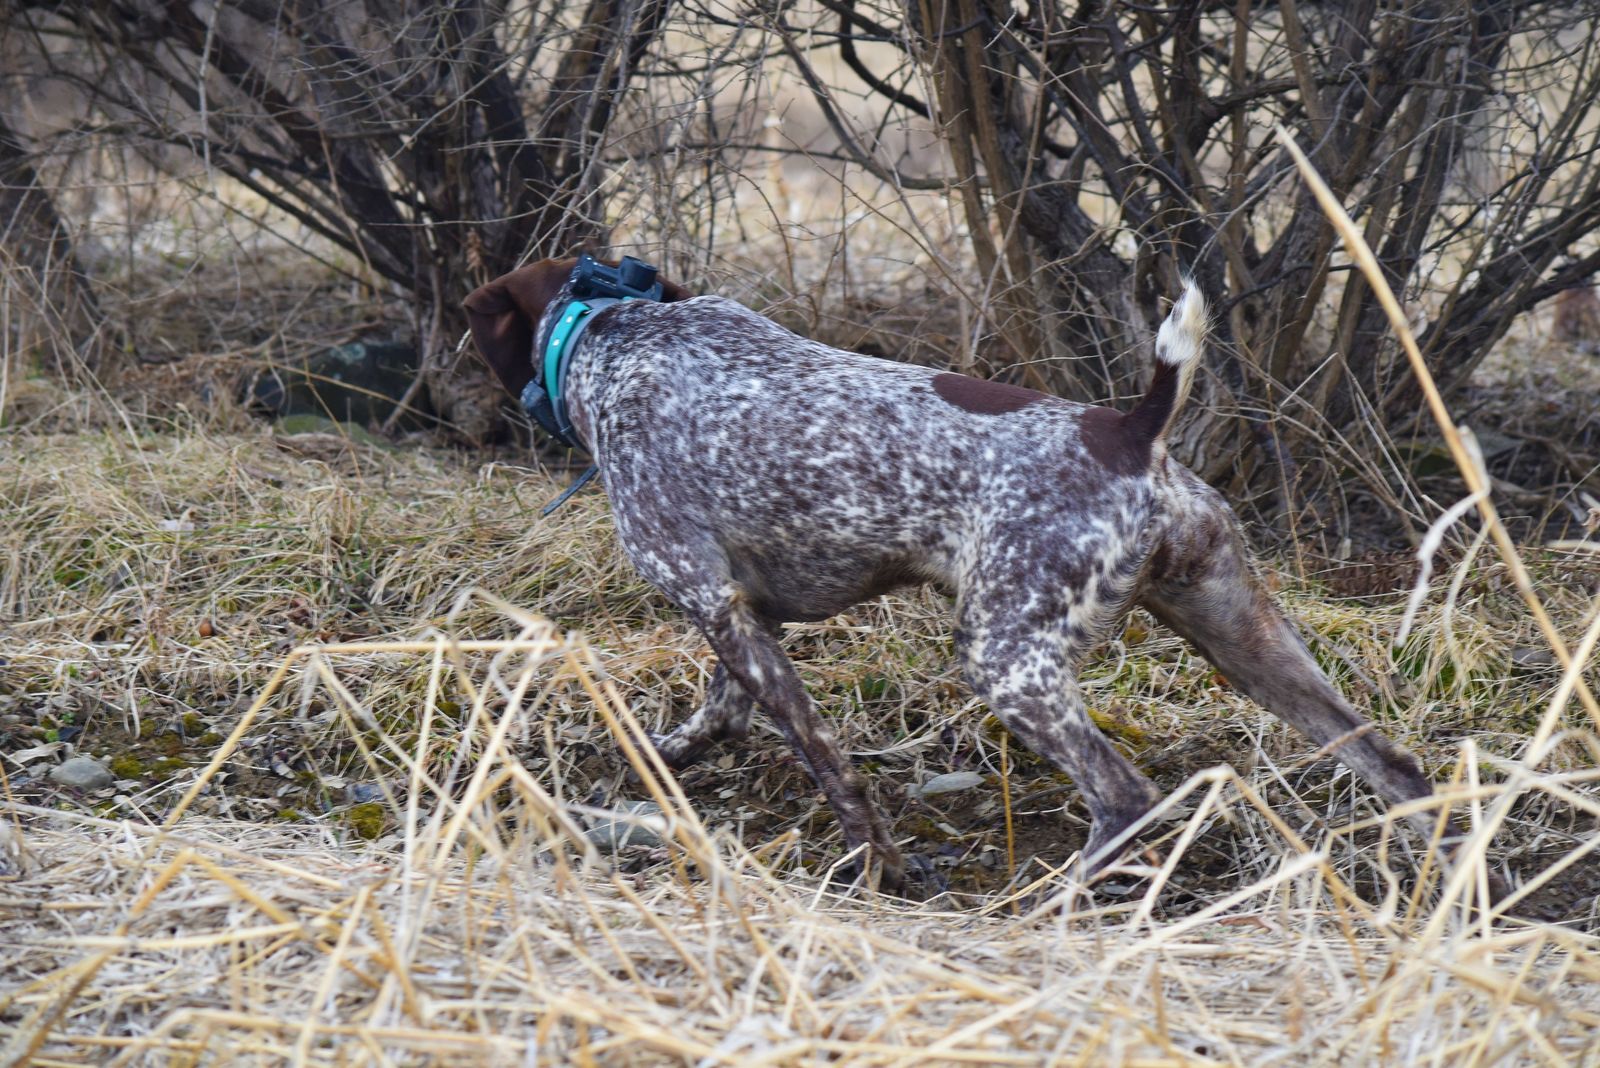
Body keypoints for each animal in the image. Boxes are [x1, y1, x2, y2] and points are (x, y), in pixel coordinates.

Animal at [467, 255, 1484, 895]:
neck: (617, 334)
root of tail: (1133, 431)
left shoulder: (716, 602)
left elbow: (832, 769)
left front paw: (880, 870)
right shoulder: (746, 615)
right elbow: (718, 714)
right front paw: (659, 757)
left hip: (1006, 657)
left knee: (1125, 794)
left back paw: (1053, 901)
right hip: (1243, 638)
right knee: (1394, 765)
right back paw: (1450, 891)